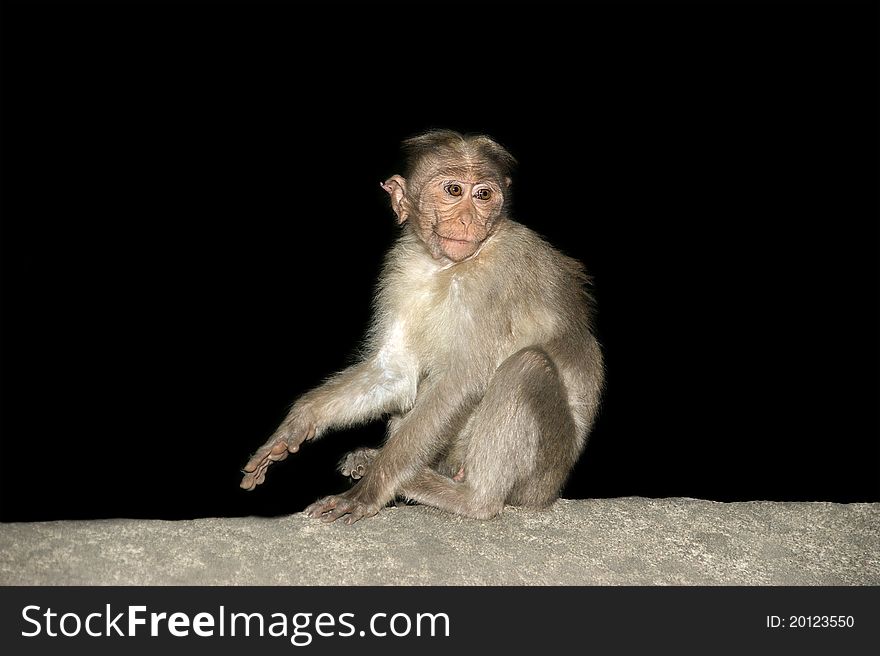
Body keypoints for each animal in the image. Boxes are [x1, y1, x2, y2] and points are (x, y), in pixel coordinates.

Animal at [239, 129, 604, 524]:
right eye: (454, 191)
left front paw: (366, 493)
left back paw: (462, 495)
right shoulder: (403, 266)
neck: (447, 266)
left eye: (483, 195)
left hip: (540, 476)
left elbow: (462, 382)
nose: (468, 220)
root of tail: (551, 491)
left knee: (527, 366)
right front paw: (298, 424)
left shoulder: (500, 273)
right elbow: (396, 374)